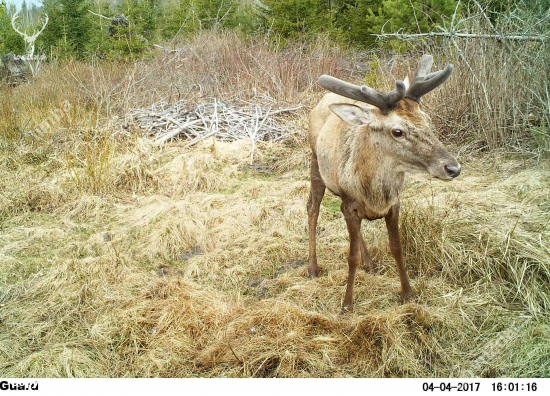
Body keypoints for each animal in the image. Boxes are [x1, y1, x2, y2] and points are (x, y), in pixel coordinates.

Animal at [310, 55, 462, 312]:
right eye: (397, 131)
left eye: (428, 120)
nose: (453, 167)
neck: (373, 194)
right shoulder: (350, 205)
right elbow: (350, 257)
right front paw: (347, 304)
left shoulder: (394, 204)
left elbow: (397, 248)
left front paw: (408, 294)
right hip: (314, 161)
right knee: (312, 207)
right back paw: (312, 267)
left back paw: (369, 263)